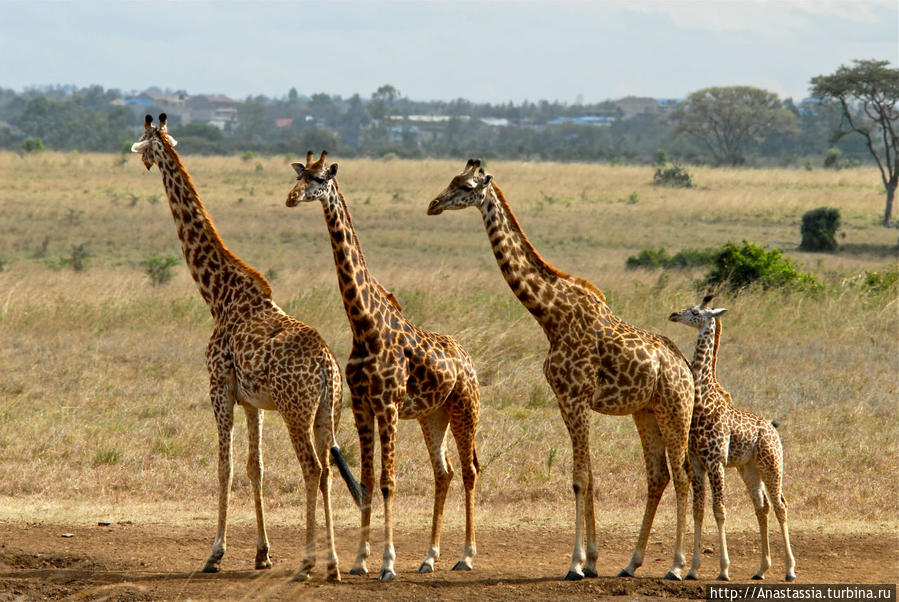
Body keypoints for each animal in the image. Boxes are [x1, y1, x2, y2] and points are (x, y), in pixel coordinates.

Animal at [131, 115, 362, 580]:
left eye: (145, 140)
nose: (140, 158)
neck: (218, 295)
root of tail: (327, 367)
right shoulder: (253, 401)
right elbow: (255, 468)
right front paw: (262, 553)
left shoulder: (218, 386)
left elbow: (226, 466)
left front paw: (215, 553)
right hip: (328, 412)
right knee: (328, 470)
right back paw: (332, 564)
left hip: (296, 410)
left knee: (312, 468)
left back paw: (308, 563)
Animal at [286, 152, 486, 580]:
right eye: (299, 174)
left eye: (321, 178)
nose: (292, 198)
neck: (364, 325)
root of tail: (467, 359)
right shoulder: (362, 405)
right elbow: (365, 480)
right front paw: (361, 560)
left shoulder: (389, 405)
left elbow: (388, 481)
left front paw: (388, 563)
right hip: (433, 416)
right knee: (443, 472)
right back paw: (429, 558)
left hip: (465, 408)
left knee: (469, 470)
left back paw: (465, 556)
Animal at [428, 157, 696, 580]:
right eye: (451, 179)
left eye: (467, 186)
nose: (433, 204)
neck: (549, 315)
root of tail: (684, 368)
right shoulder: (564, 401)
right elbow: (588, 475)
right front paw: (593, 560)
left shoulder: (576, 397)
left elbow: (579, 478)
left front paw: (575, 564)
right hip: (646, 413)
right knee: (659, 475)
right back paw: (631, 563)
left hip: (675, 410)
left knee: (683, 474)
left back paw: (676, 566)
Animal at [668, 292, 796, 580]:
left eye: (695, 311)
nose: (673, 315)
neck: (703, 399)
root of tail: (773, 429)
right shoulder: (697, 463)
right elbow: (698, 510)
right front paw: (692, 569)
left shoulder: (716, 462)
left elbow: (719, 510)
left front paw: (724, 569)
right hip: (749, 469)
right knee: (762, 507)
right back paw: (761, 569)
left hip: (772, 465)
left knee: (780, 505)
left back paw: (790, 569)